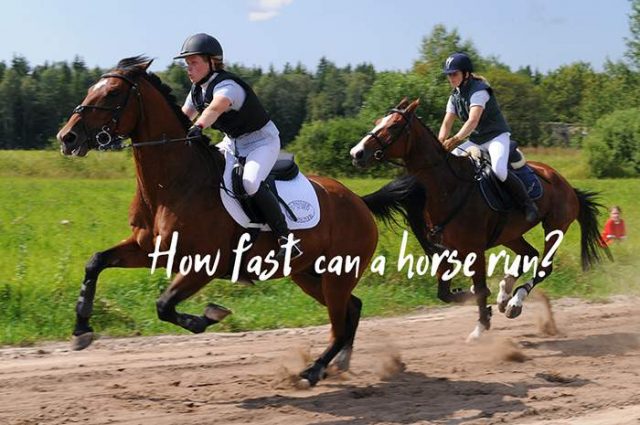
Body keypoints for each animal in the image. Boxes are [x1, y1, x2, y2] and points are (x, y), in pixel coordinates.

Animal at [56, 56, 415, 386]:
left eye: (112, 93)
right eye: (91, 89)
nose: (67, 138)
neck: (172, 184)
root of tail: (359, 202)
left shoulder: (203, 265)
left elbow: (164, 305)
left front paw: (209, 316)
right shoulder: (149, 251)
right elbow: (95, 262)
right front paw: (81, 330)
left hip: (337, 275)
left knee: (341, 322)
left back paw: (312, 370)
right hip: (309, 275)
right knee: (352, 309)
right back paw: (336, 364)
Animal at [350, 98, 611, 341]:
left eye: (393, 126)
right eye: (378, 122)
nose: (357, 153)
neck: (447, 187)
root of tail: (565, 183)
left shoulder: (474, 251)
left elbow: (480, 288)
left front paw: (481, 326)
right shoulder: (444, 250)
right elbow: (447, 293)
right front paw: (475, 301)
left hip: (555, 227)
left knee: (544, 266)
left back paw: (515, 302)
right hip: (510, 234)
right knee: (529, 254)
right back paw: (505, 293)